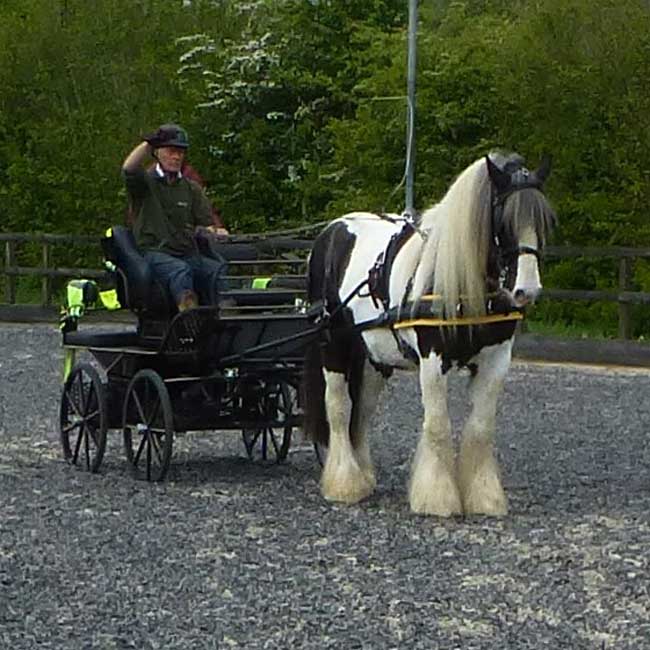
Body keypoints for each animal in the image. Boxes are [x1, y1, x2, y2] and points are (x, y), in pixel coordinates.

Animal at [302, 152, 552, 516]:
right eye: (503, 219)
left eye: (544, 221)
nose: (527, 290)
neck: (462, 285)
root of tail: (331, 231)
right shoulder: (433, 360)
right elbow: (438, 425)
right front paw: (437, 497)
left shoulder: (496, 359)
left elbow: (481, 427)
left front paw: (484, 497)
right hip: (333, 343)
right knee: (338, 406)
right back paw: (345, 482)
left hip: (374, 358)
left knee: (362, 412)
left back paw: (364, 476)